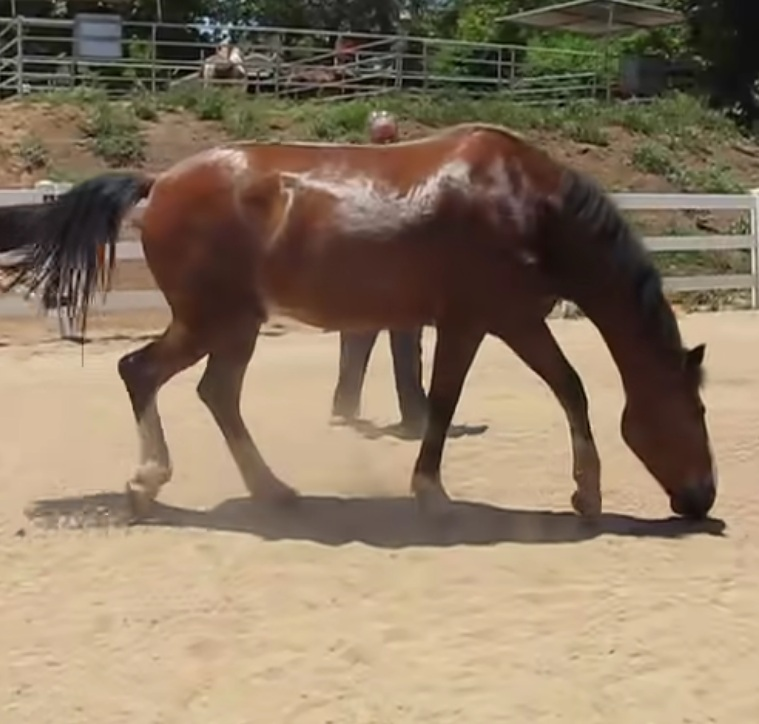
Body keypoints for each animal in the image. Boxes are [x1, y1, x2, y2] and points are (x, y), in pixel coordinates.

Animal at [1, 122, 717, 523]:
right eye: (694, 412)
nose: (703, 497)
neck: (527, 205)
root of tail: (161, 182)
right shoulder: (481, 321)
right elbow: (457, 401)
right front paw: (436, 496)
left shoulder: (507, 321)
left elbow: (563, 389)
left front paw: (583, 496)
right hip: (209, 320)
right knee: (140, 371)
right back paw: (147, 484)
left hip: (237, 327)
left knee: (216, 394)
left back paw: (274, 492)